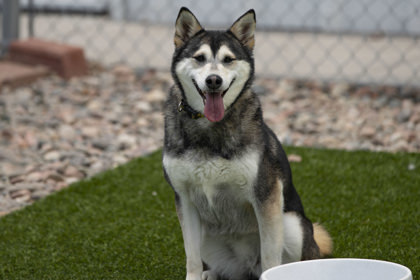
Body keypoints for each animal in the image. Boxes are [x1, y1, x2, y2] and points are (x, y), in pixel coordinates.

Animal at [162, 7, 334, 280]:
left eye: (228, 59)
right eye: (199, 58)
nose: (213, 80)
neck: (210, 127)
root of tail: (247, 268)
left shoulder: (267, 196)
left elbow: (271, 256)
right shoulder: (184, 200)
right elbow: (192, 258)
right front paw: (196, 275)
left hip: (293, 224)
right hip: (208, 235)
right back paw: (212, 274)